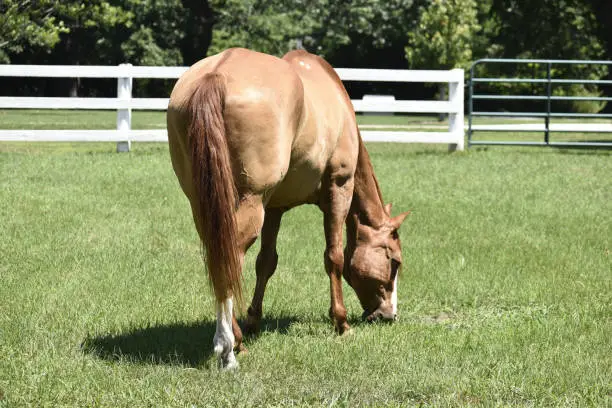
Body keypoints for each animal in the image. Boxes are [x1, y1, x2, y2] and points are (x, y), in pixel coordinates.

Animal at [165, 47, 408, 370]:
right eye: (394, 261)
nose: (388, 315)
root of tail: (216, 73)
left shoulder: (275, 207)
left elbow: (266, 262)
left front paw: (254, 320)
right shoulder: (338, 188)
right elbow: (334, 257)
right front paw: (341, 323)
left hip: (206, 205)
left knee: (219, 258)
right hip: (250, 202)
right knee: (231, 258)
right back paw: (229, 345)